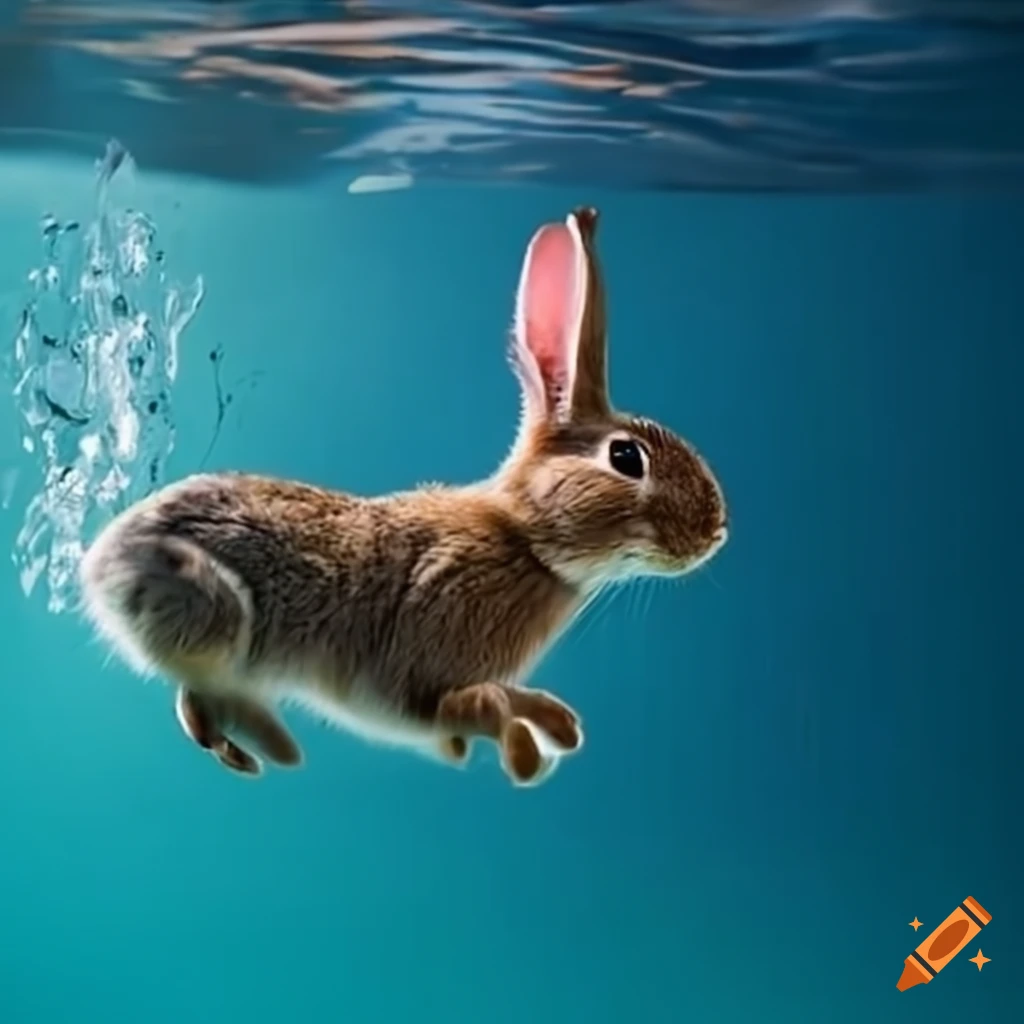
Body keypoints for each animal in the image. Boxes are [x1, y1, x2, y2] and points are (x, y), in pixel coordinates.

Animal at [79, 206, 728, 787]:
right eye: (626, 458)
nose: (715, 534)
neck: (526, 536)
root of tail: (98, 564)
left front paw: (551, 725)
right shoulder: (415, 658)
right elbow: (465, 707)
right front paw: (520, 746)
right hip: (212, 607)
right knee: (200, 694)